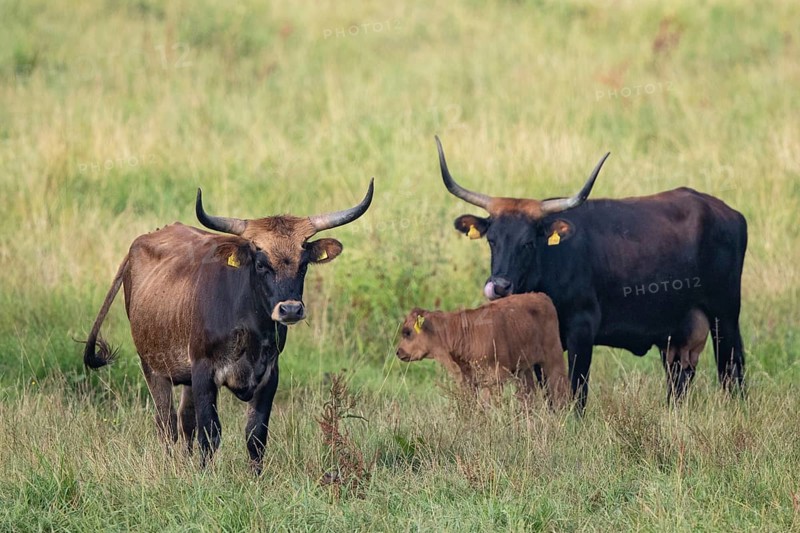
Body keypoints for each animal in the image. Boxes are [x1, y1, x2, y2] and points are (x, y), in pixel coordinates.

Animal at [83, 180, 374, 472]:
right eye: (261, 263)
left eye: (303, 265)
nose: (291, 309)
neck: (249, 331)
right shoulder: (204, 371)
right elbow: (210, 433)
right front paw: (204, 475)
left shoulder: (269, 375)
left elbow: (255, 435)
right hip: (153, 367)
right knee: (166, 423)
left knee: (184, 420)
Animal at [395, 293, 569, 407]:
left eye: (407, 332)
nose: (398, 351)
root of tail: (541, 296)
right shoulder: (467, 380)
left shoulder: (493, 378)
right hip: (523, 369)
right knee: (528, 398)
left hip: (554, 359)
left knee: (560, 391)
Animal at [434, 135, 747, 412]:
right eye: (492, 240)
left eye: (529, 242)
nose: (499, 286)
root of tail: (728, 212)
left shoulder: (582, 331)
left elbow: (577, 391)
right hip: (678, 332)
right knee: (679, 378)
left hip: (725, 316)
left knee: (732, 370)